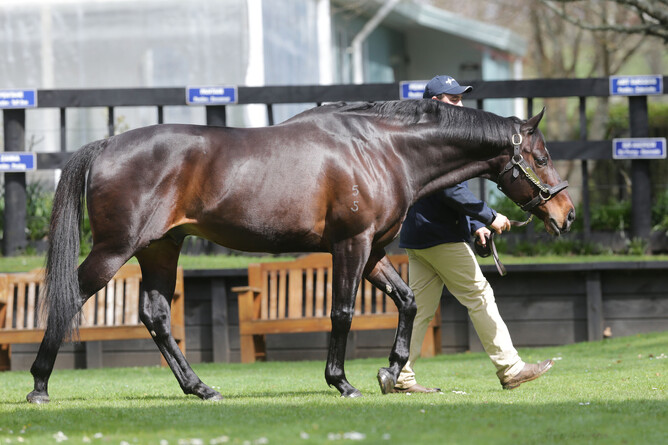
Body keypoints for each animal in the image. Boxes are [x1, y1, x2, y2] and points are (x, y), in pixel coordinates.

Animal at [26, 99, 574, 403]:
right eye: (542, 156)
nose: (566, 213)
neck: (382, 148)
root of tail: (105, 146)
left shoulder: (373, 252)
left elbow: (408, 302)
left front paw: (390, 371)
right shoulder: (351, 246)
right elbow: (342, 312)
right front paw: (342, 382)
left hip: (161, 248)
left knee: (156, 315)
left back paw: (200, 388)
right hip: (116, 249)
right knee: (69, 298)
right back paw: (38, 386)